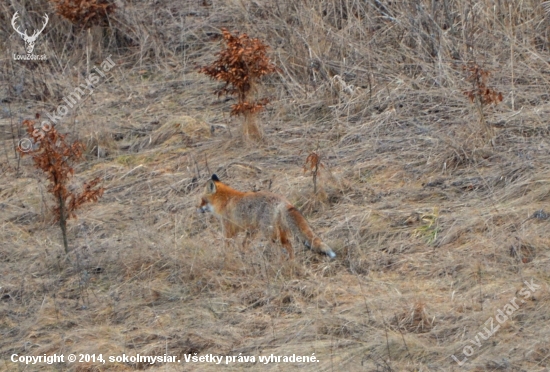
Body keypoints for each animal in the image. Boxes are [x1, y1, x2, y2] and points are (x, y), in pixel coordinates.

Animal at [198, 174, 336, 258]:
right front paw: (244, 254)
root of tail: (283, 201)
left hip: (270, 234)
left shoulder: (228, 229)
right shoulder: (252, 230)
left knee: (286, 246)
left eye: (202, 200)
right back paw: (291, 261)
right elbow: (244, 244)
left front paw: (226, 257)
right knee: (289, 246)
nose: (197, 209)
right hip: (279, 232)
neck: (225, 200)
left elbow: (226, 245)